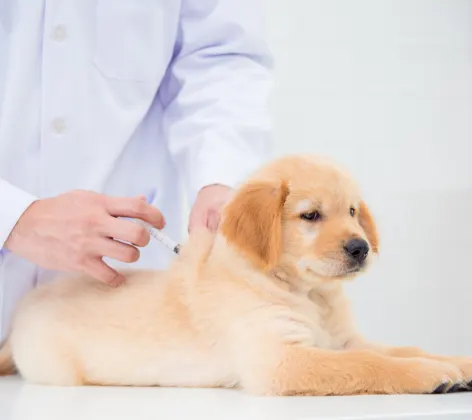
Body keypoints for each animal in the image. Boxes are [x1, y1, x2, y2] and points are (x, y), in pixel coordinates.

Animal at [0, 154, 472, 394]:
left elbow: (399, 348)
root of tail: (23, 312)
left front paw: (456, 362)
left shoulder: (342, 340)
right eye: (311, 216)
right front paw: (429, 374)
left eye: (353, 212)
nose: (361, 248)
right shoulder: (281, 360)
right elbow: (370, 363)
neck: (309, 294)